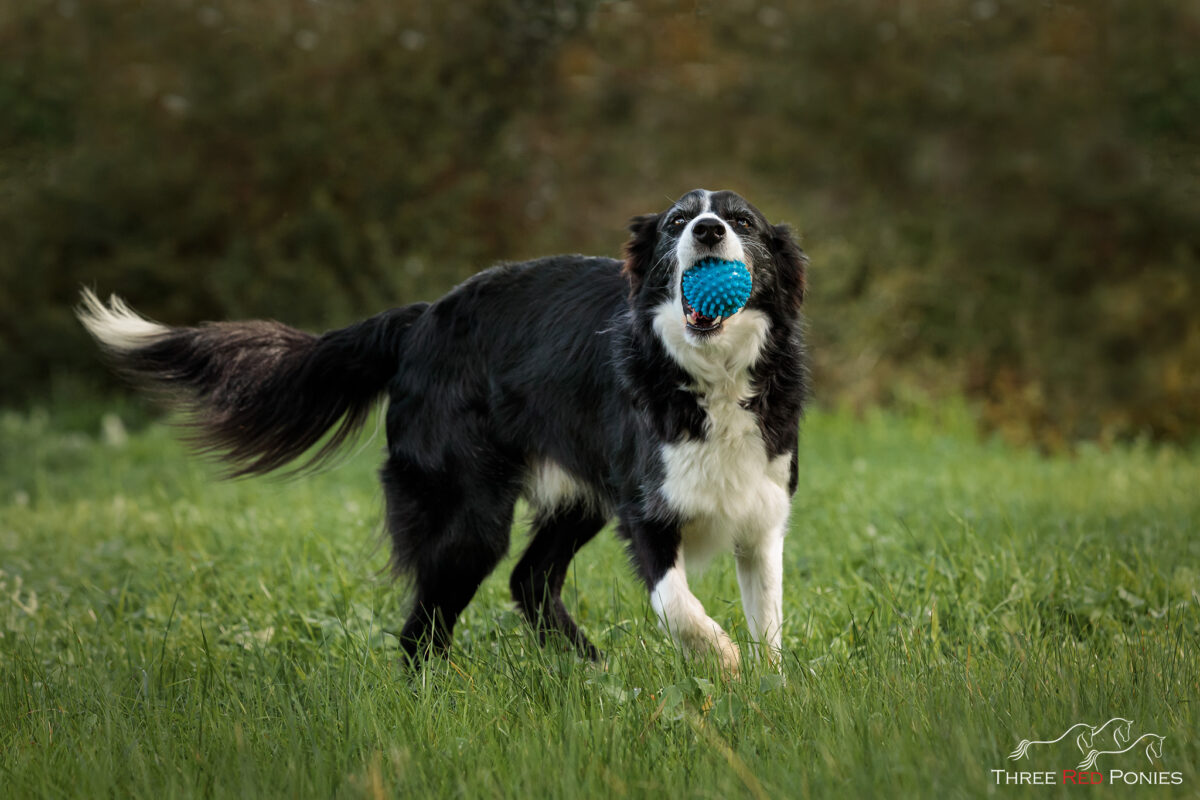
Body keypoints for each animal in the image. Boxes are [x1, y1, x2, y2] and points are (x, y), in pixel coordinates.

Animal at [77, 188, 806, 671]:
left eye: (741, 220)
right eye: (678, 221)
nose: (707, 231)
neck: (708, 373)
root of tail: (420, 317)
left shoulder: (762, 513)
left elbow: (768, 618)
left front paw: (766, 691)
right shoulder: (646, 513)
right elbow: (680, 605)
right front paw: (724, 659)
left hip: (568, 499)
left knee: (527, 581)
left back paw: (590, 670)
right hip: (468, 512)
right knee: (423, 628)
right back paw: (434, 698)